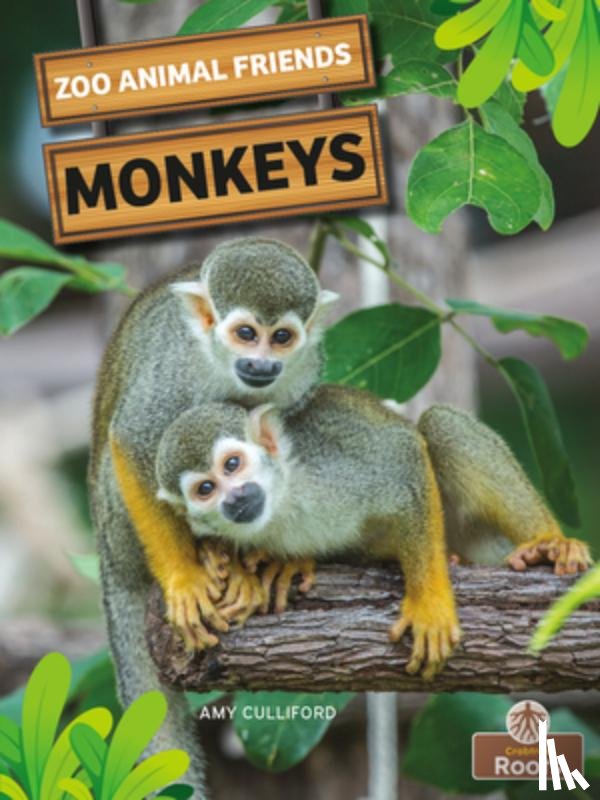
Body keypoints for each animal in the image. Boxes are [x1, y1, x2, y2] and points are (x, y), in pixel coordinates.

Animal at [88, 238, 338, 792]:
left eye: (281, 337)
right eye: (246, 333)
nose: (261, 364)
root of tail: (108, 560)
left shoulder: (302, 371)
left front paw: (277, 558)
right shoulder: (173, 369)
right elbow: (132, 442)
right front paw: (184, 577)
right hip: (116, 525)